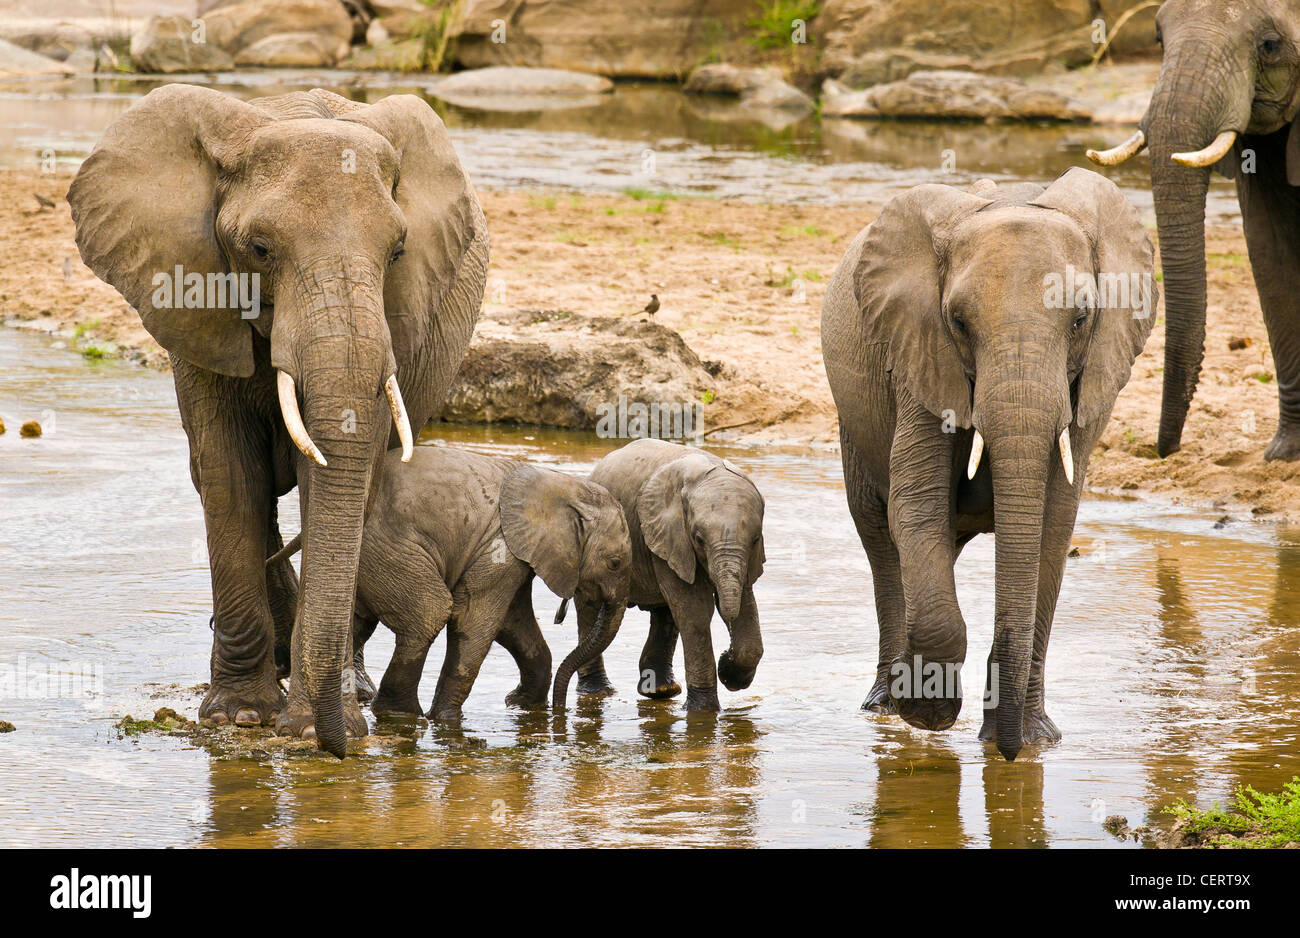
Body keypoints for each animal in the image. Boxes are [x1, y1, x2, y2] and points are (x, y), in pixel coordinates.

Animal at [67, 84, 489, 756]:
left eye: (398, 251)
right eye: (260, 250)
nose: (334, 746)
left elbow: (338, 474)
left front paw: (320, 723)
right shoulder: (195, 300)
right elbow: (229, 473)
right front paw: (240, 718)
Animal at [271, 446, 632, 721]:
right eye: (614, 563)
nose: (562, 712)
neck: (564, 485)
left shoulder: (511, 555)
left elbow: (513, 624)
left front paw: (519, 704)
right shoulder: (498, 547)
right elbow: (475, 620)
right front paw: (446, 719)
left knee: (356, 621)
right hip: (388, 548)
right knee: (428, 613)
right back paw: (402, 714)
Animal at [581, 438, 766, 711]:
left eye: (755, 540)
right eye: (698, 539)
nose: (726, 655)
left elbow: (745, 605)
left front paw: (730, 675)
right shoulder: (670, 535)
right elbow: (695, 611)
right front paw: (703, 711)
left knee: (665, 612)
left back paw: (660, 690)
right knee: (589, 605)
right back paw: (597, 691)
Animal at [820, 169, 1156, 761]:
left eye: (1080, 318)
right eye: (957, 321)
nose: (1008, 752)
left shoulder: (1090, 382)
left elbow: (1053, 523)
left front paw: (1034, 741)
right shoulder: (920, 358)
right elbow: (917, 505)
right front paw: (928, 714)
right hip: (854, 421)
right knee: (881, 539)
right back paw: (884, 706)